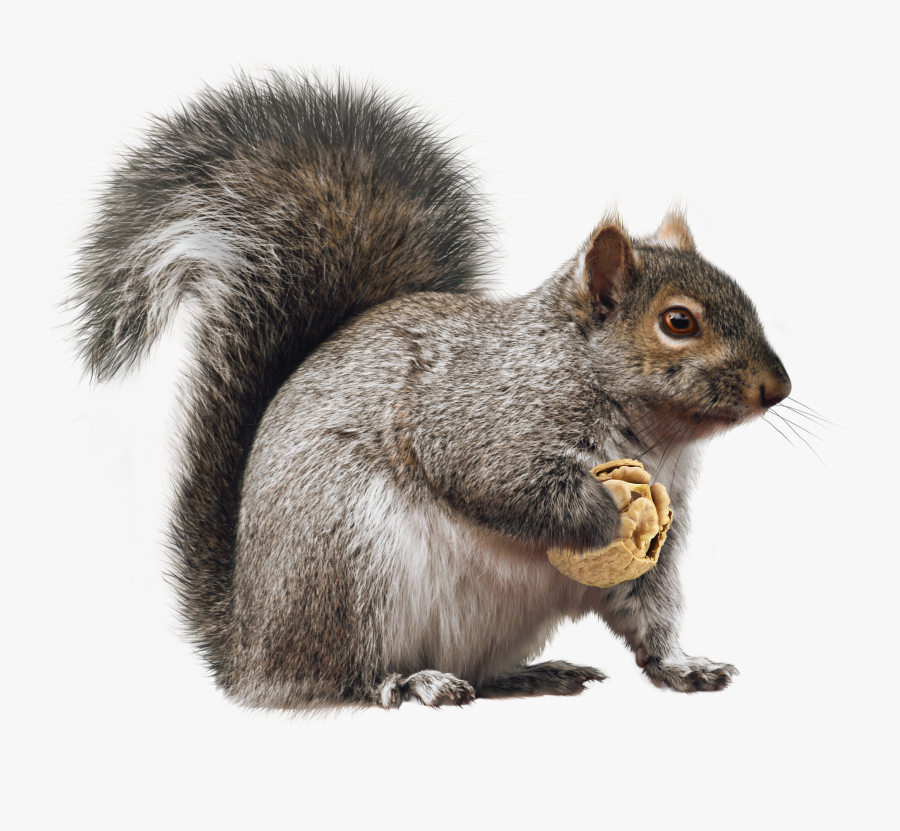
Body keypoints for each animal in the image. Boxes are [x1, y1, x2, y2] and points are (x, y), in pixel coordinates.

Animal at [70, 72, 791, 709]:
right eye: (678, 322)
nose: (777, 387)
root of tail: (249, 644)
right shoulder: (478, 416)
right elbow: (498, 481)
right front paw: (604, 513)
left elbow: (648, 604)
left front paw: (682, 664)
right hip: (355, 566)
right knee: (346, 674)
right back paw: (413, 681)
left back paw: (530, 675)